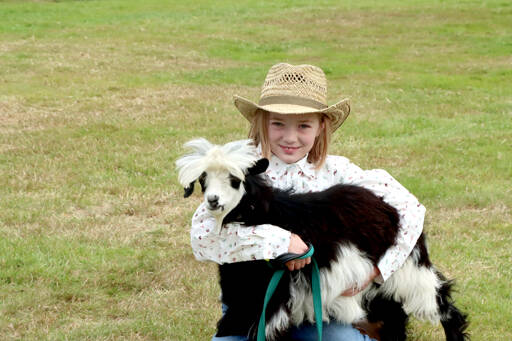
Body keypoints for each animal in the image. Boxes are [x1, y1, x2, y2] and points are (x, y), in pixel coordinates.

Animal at [176, 138, 468, 340]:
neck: (263, 214)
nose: (213, 201)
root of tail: (388, 204)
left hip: (410, 271)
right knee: (393, 319)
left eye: (235, 179)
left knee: (445, 306)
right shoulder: (248, 294)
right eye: (203, 179)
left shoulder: (273, 297)